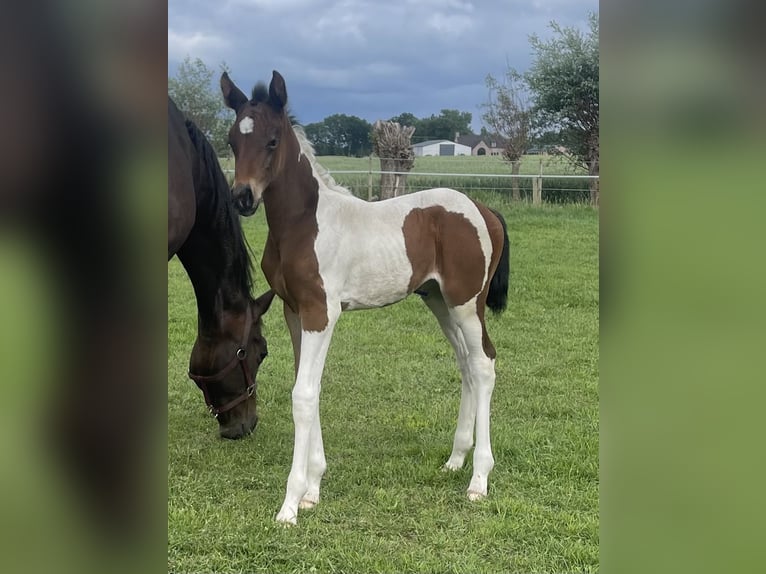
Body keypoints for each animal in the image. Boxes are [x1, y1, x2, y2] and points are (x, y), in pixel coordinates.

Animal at [220, 71, 510, 525]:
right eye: (233, 140)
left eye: (271, 140)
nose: (243, 198)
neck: (303, 224)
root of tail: (482, 209)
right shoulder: (294, 311)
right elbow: (309, 385)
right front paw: (313, 490)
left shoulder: (321, 313)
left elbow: (303, 395)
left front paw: (290, 505)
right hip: (439, 302)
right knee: (466, 364)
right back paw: (455, 460)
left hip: (467, 304)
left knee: (483, 366)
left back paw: (478, 479)